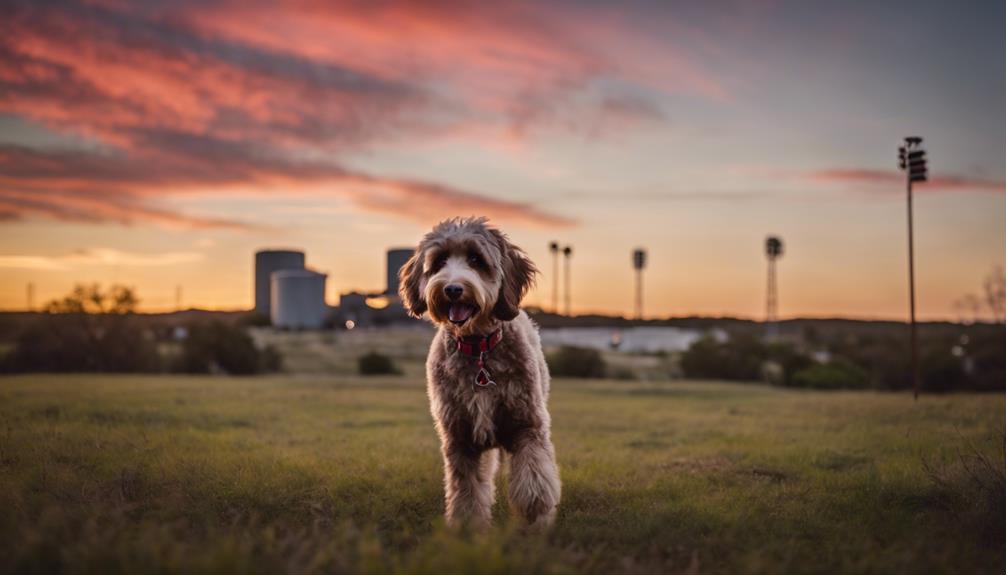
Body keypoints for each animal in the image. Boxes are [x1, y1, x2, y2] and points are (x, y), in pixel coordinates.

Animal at [398, 217, 559, 530]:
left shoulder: (527, 425)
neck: (478, 348)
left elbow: (534, 478)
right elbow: (466, 489)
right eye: (439, 261)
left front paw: (535, 518)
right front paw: (467, 527)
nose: (452, 289)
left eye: (476, 259)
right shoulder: (460, 435)